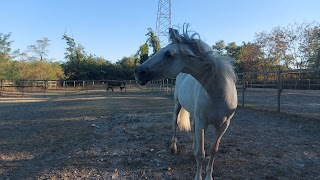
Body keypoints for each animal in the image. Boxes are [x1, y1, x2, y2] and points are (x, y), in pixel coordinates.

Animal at [134, 25, 236, 180]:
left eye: (168, 54)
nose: (138, 71)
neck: (218, 95)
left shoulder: (223, 126)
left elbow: (213, 150)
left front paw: (209, 176)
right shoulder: (201, 123)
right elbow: (201, 154)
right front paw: (198, 177)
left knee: (192, 129)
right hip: (178, 105)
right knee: (175, 124)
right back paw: (173, 148)